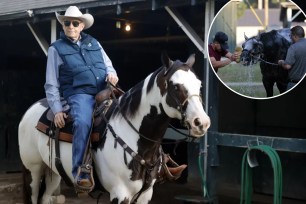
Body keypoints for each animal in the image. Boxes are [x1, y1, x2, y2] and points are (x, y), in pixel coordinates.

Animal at [17, 53, 209, 204]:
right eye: (175, 86)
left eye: (199, 84)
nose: (202, 122)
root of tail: (32, 108)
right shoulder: (120, 193)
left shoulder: (145, 195)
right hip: (33, 171)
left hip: (53, 173)